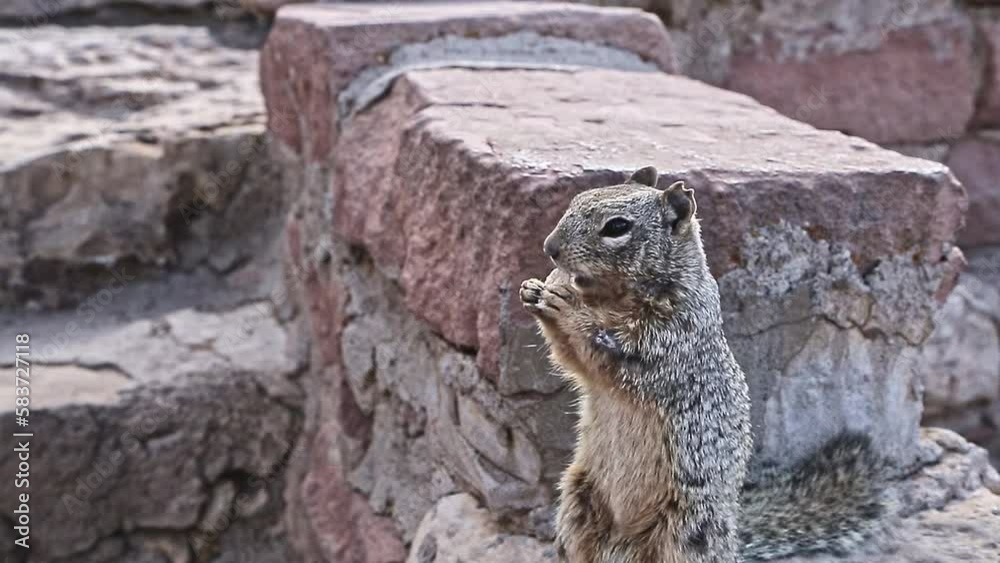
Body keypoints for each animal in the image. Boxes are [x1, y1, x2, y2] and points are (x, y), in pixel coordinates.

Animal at [519, 166, 890, 563]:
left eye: (617, 227)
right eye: (575, 200)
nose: (550, 248)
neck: (611, 299)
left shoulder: (666, 344)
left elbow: (609, 351)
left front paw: (565, 305)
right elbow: (571, 358)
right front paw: (534, 290)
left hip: (689, 532)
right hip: (577, 502)